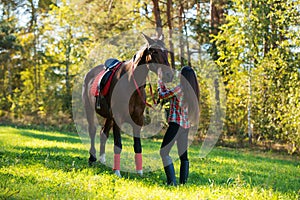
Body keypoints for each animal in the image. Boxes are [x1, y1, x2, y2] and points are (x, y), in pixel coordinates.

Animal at [82, 33, 173, 177]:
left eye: (167, 52)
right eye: (154, 51)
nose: (169, 75)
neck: (131, 83)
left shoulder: (138, 119)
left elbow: (138, 146)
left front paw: (140, 172)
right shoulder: (118, 118)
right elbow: (118, 145)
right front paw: (117, 172)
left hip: (109, 117)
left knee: (103, 133)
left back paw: (102, 159)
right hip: (89, 109)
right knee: (92, 131)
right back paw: (92, 158)